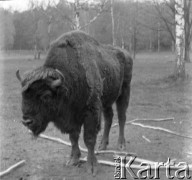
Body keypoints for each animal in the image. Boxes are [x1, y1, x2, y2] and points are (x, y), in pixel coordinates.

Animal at [16, 31, 132, 176]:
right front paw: (73, 160)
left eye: (46, 96)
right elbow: (73, 137)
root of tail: (126, 53)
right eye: (23, 95)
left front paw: (92, 166)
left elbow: (88, 138)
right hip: (107, 100)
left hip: (124, 92)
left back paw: (121, 145)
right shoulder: (72, 117)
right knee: (109, 118)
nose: (27, 121)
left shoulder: (91, 112)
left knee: (121, 117)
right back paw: (103, 145)